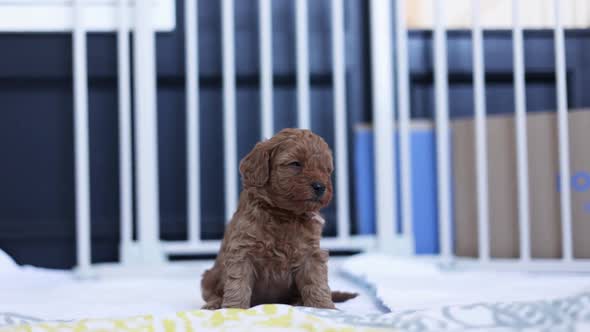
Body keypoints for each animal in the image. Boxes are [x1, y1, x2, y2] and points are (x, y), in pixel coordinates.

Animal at [201, 128, 358, 310]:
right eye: (296, 164)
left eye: (326, 169)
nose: (320, 187)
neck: (284, 213)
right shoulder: (242, 250)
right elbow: (238, 284)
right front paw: (234, 309)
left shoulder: (311, 254)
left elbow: (316, 283)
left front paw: (324, 308)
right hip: (209, 277)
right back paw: (215, 303)